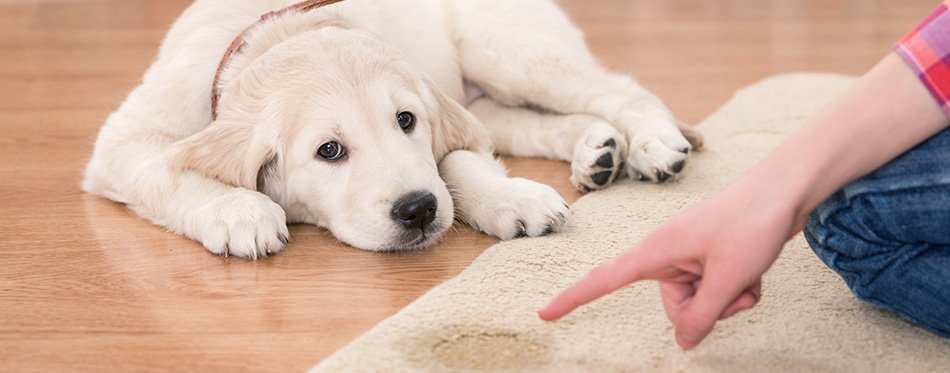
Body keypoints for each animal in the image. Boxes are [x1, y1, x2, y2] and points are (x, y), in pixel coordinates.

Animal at [85, 0, 704, 258]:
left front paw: (509, 197)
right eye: (329, 150)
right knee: (533, 122)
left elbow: (456, 160)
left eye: (406, 121)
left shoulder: (441, 114)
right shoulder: (124, 140)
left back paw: (653, 144)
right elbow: (167, 169)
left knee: (619, 89)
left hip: (506, 49)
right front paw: (239, 212)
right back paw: (597, 151)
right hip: (489, 90)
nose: (418, 211)